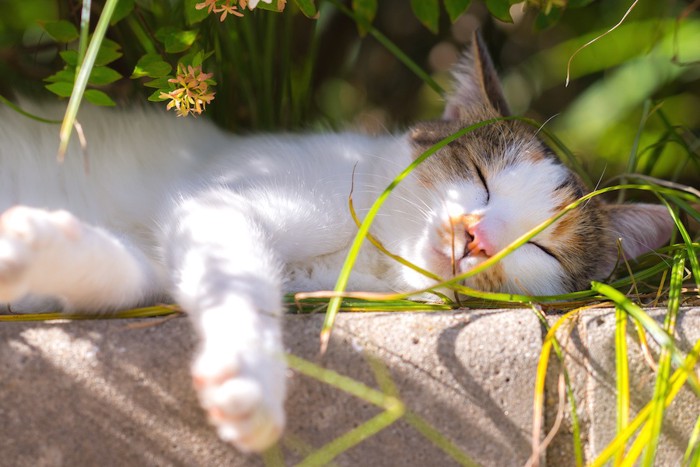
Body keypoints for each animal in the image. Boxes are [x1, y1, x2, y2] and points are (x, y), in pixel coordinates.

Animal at [1, 36, 672, 454]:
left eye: (543, 249)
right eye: (481, 176)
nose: (475, 235)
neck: (367, 252)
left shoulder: (181, 240)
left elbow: (131, 273)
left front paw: (31, 244)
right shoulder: (220, 200)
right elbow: (240, 281)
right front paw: (248, 376)